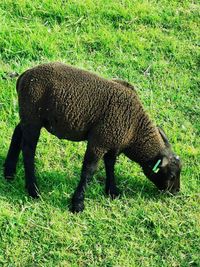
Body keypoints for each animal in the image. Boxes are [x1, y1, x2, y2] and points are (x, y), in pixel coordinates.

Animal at [3, 62, 181, 214]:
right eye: (172, 175)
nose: (176, 192)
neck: (134, 129)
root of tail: (25, 75)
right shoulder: (99, 141)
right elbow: (89, 171)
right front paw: (78, 204)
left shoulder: (113, 143)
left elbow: (110, 165)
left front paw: (112, 191)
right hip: (33, 115)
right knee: (28, 150)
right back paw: (33, 189)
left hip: (30, 115)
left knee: (18, 132)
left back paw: (9, 172)